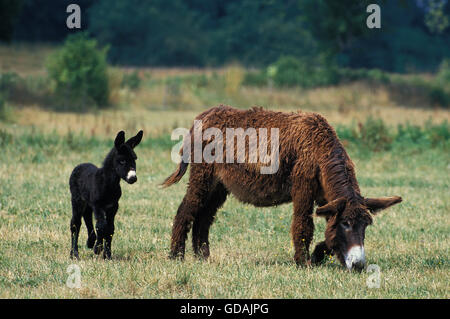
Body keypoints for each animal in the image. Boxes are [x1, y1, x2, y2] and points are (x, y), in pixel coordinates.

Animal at [69, 130, 143, 260]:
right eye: (122, 161)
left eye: (135, 159)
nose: (133, 178)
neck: (108, 184)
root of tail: (80, 165)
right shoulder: (98, 205)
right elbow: (102, 226)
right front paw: (98, 249)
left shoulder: (113, 207)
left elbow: (110, 229)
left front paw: (107, 255)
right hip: (77, 200)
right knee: (75, 223)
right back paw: (74, 254)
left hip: (88, 203)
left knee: (87, 217)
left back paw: (90, 241)